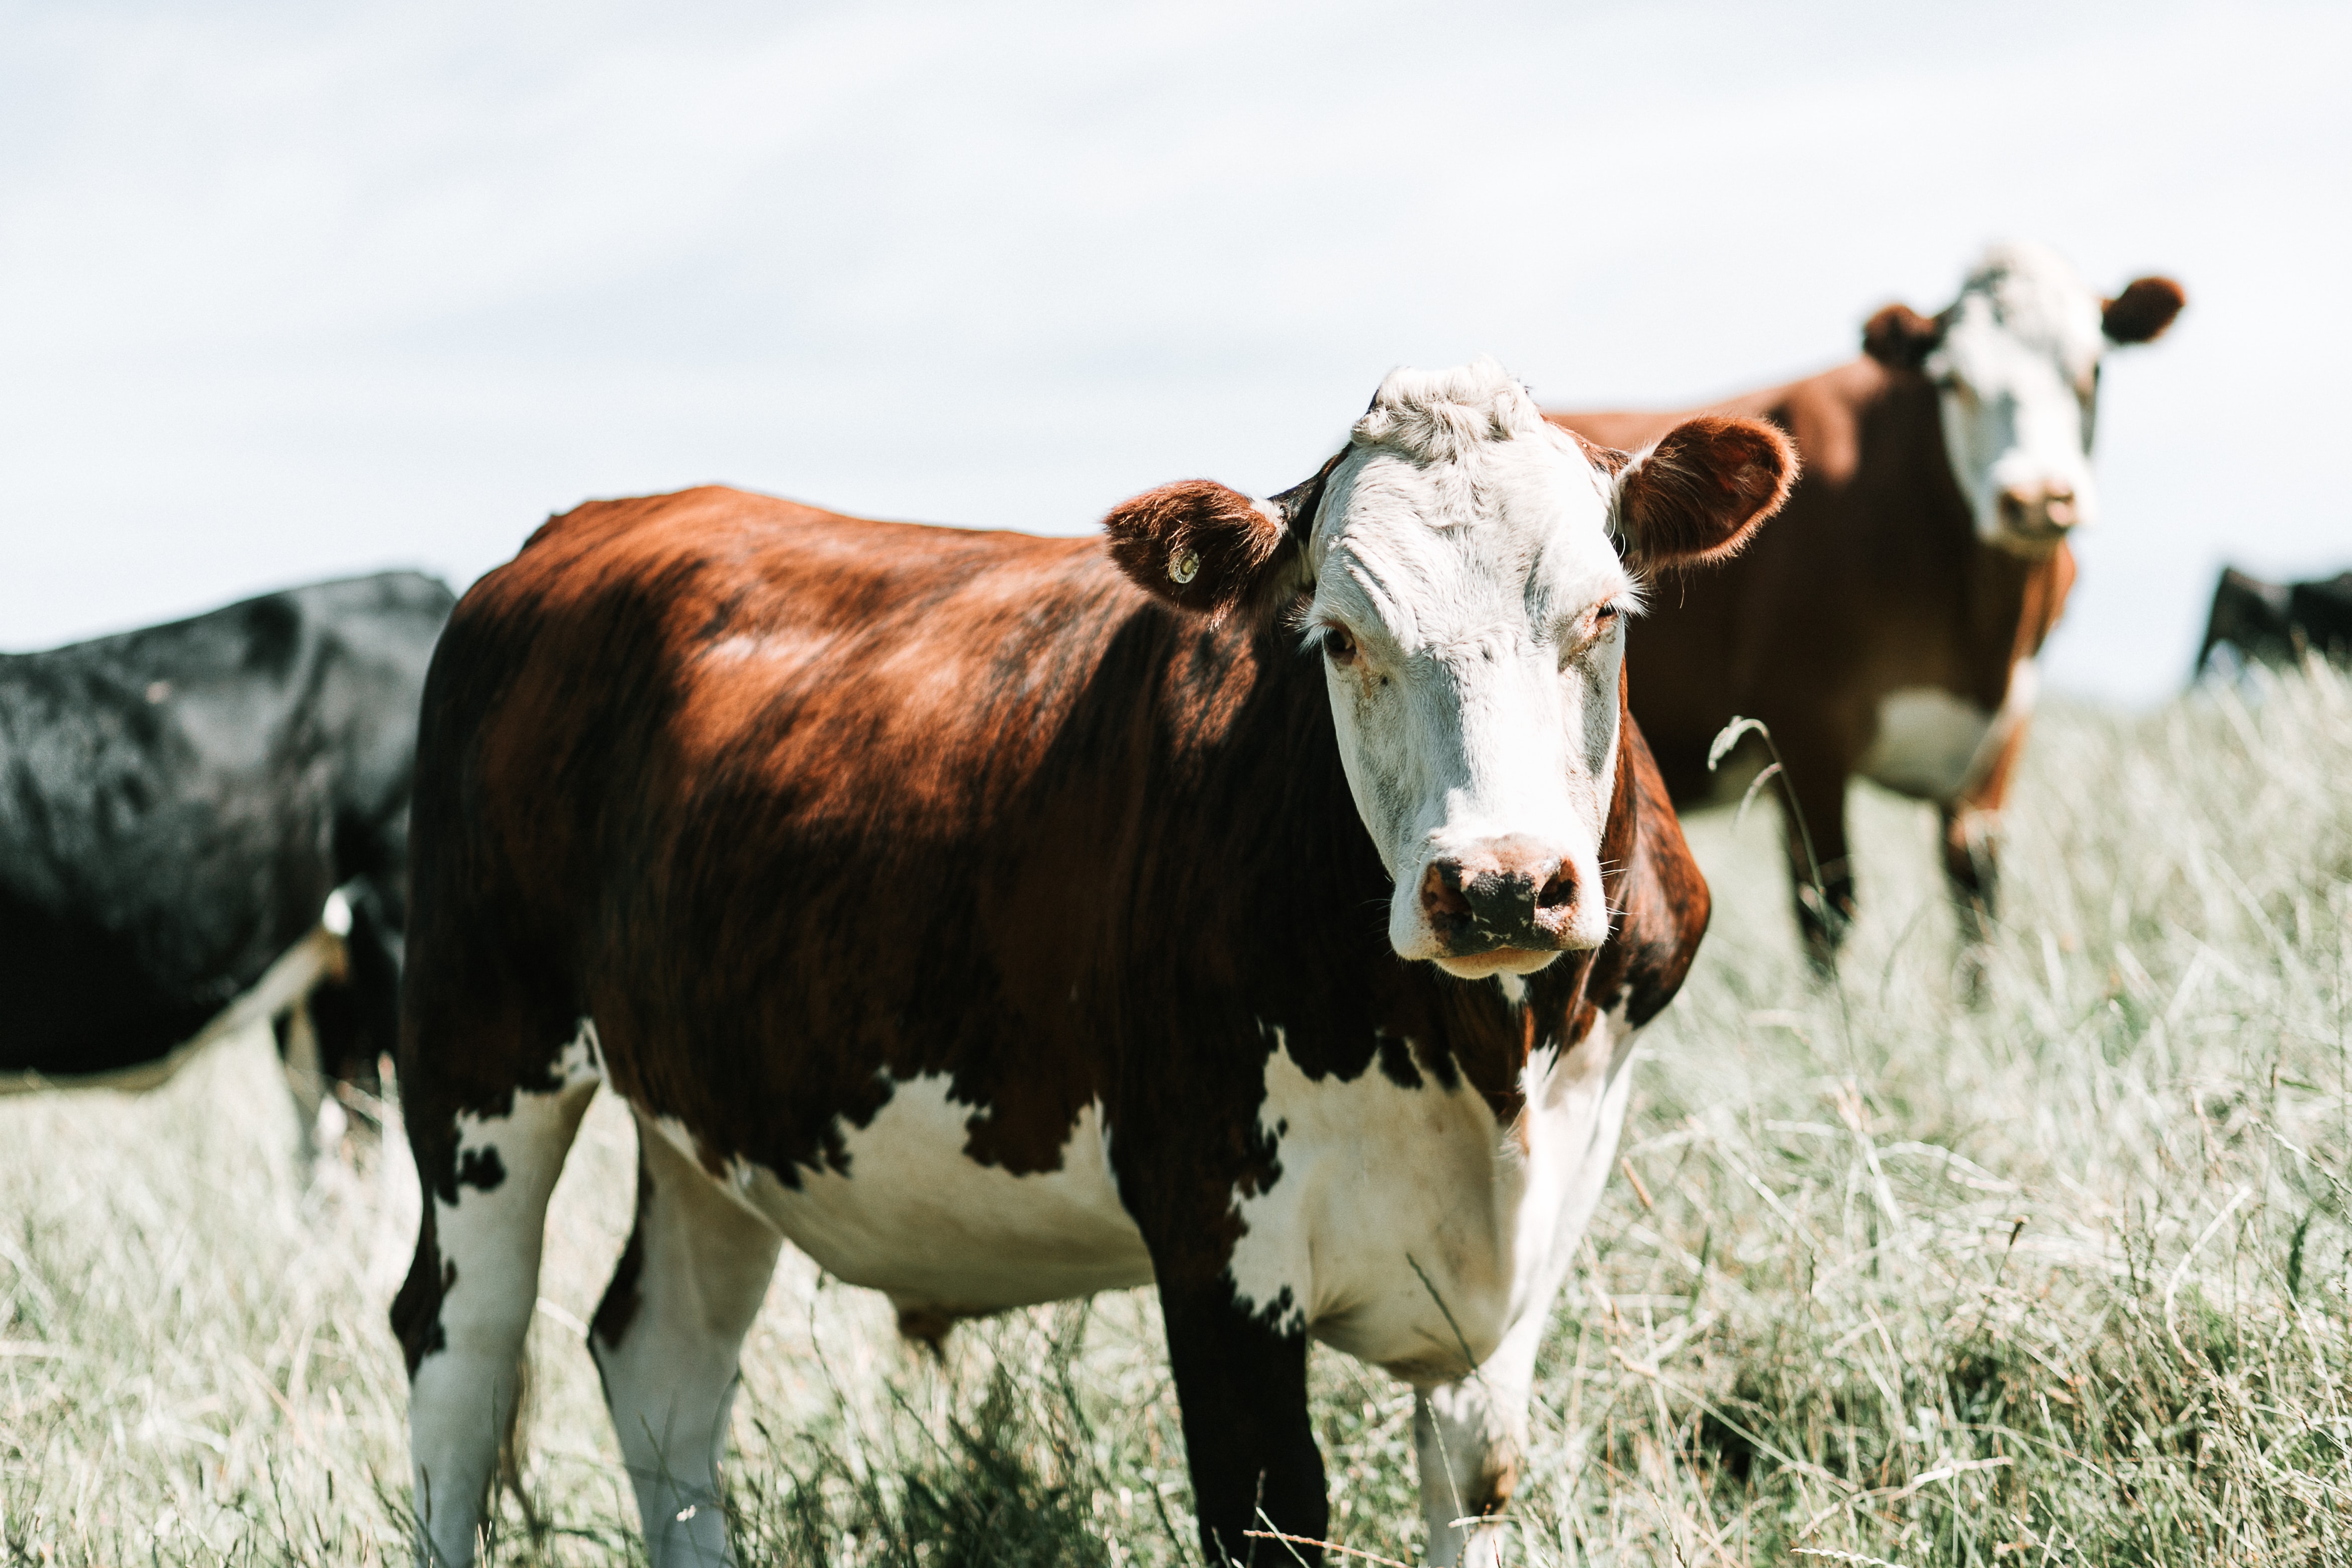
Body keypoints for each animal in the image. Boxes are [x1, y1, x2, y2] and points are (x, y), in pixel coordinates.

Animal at [388, 360, 1795, 1568]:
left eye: (1602, 614)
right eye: (1339, 634)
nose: (1499, 883)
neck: (1484, 1057)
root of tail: (581, 528)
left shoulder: (1526, 1254)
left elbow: (1474, 1482)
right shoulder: (1214, 1239)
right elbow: (1270, 1509)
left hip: (712, 1112)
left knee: (663, 1368)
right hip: (475, 1052)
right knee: (460, 1349)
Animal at [1550, 243, 2185, 970]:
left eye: (2093, 370)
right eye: (1954, 381)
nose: (2036, 498)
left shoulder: (1999, 745)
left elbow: (1977, 902)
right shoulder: (1803, 734)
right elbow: (1827, 910)